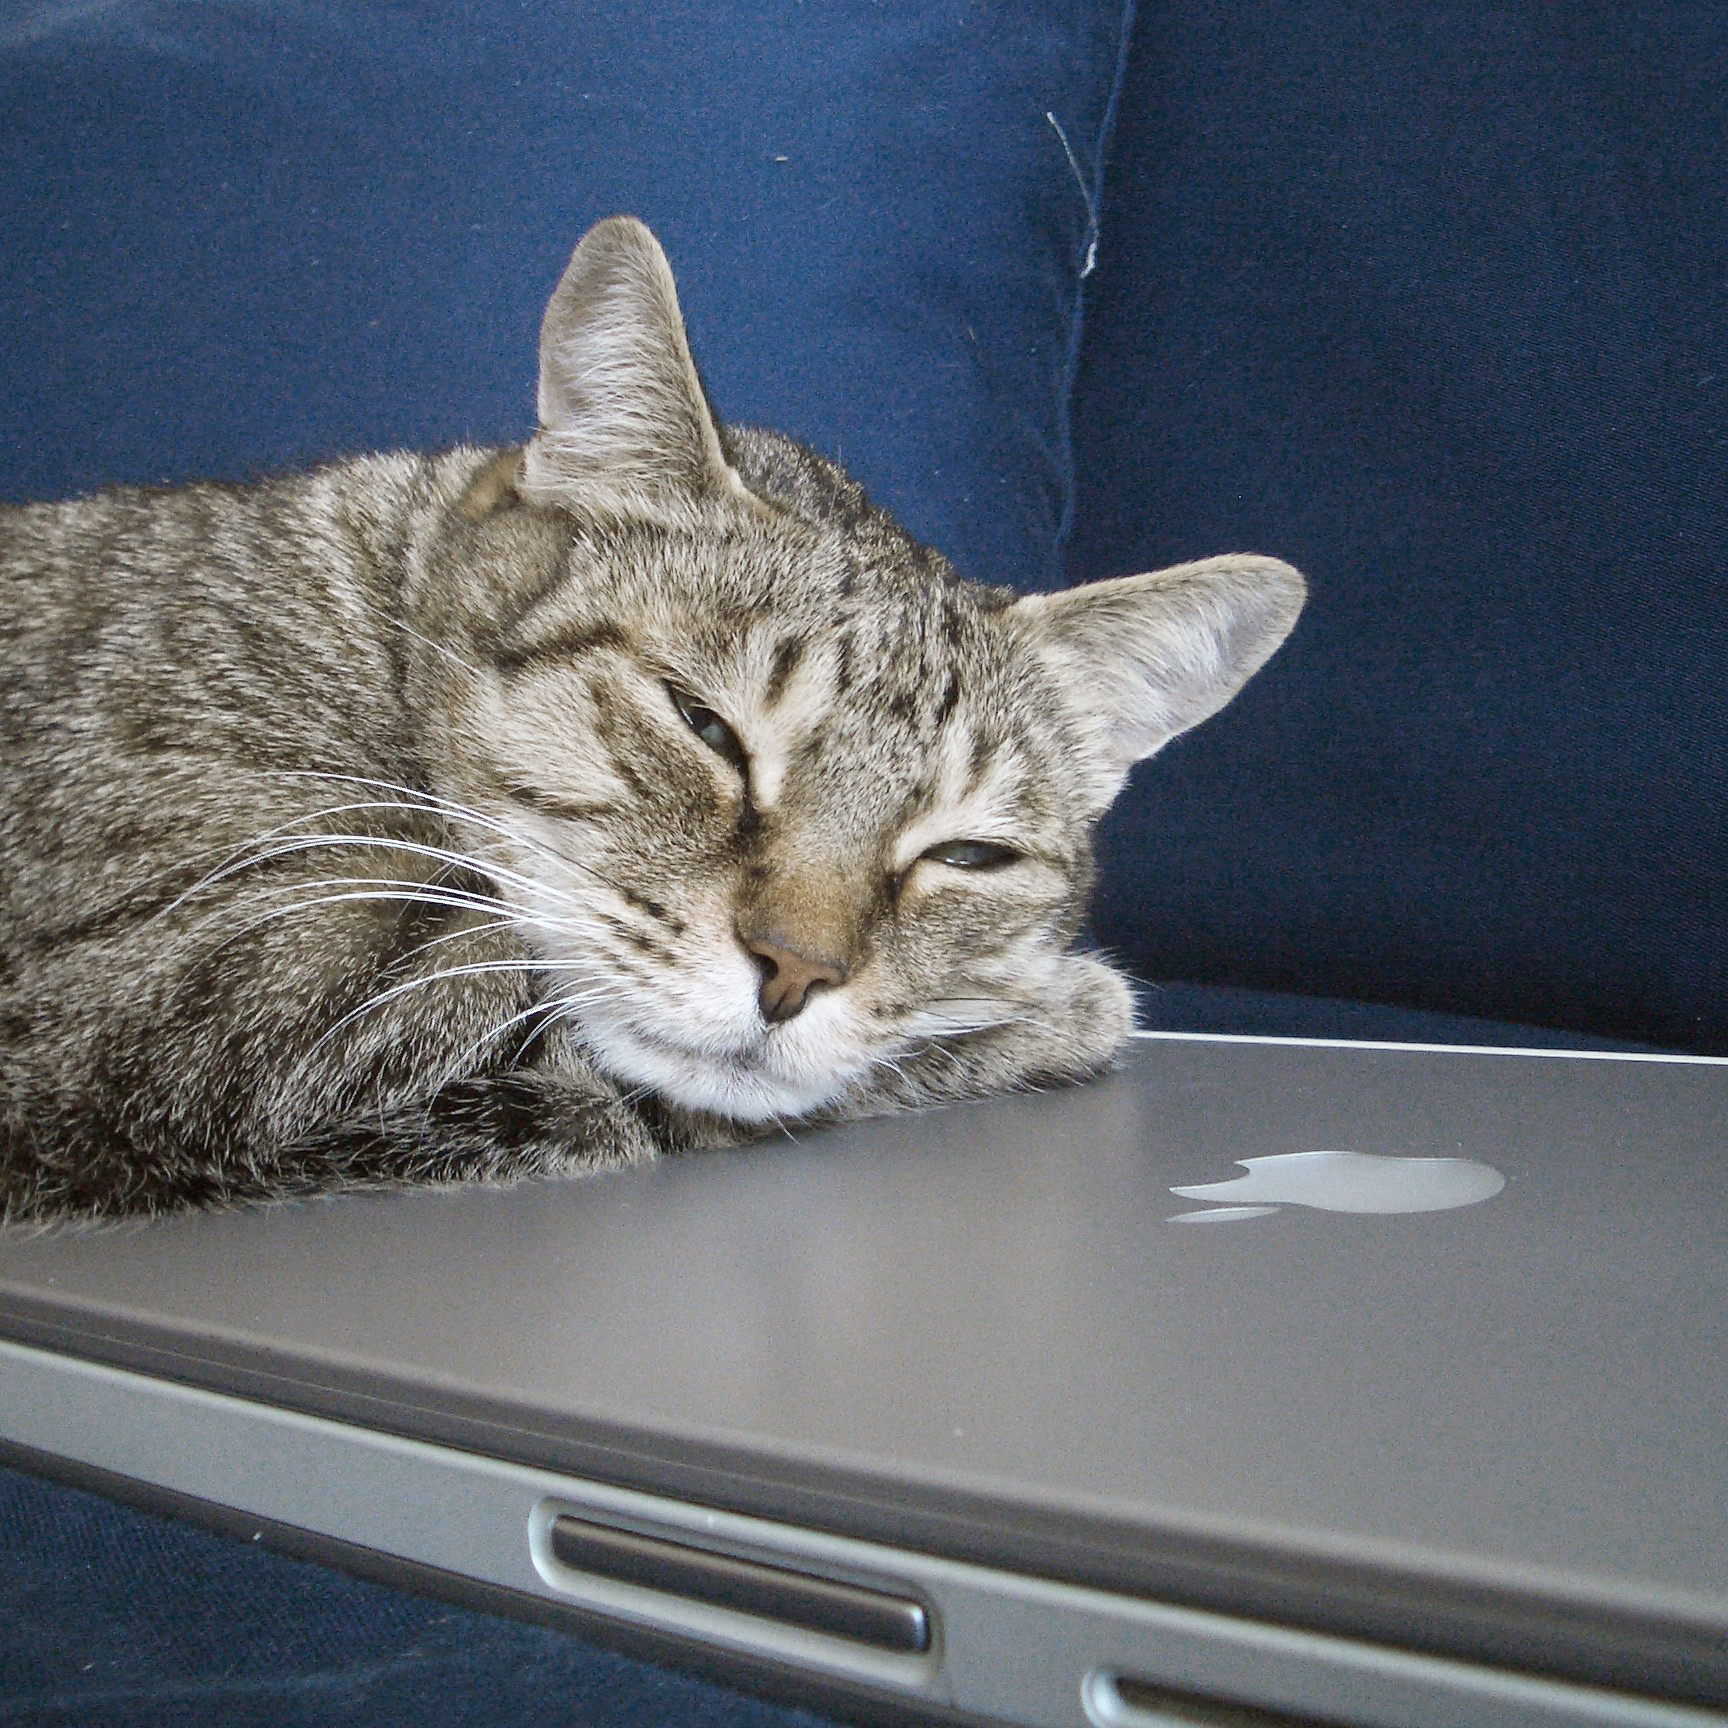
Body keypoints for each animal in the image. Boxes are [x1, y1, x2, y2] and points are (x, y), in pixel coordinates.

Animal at [0, 216, 1299, 1223]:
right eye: (704, 725)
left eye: (968, 854)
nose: (796, 973)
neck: (375, 617)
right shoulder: (189, 988)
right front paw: (1062, 1005)